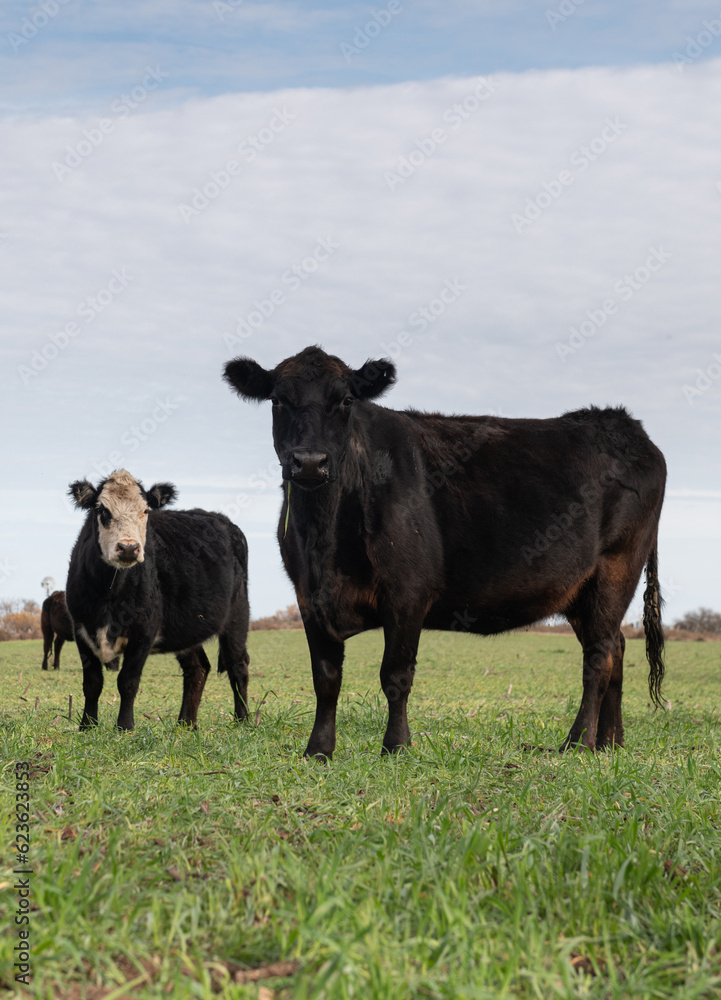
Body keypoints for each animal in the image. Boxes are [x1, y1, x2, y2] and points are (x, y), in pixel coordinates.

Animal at [66, 469, 250, 731]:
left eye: (145, 511)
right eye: (102, 510)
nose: (129, 548)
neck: (109, 593)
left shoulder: (144, 632)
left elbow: (128, 681)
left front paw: (125, 727)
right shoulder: (81, 628)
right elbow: (92, 683)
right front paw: (87, 726)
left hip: (238, 615)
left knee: (238, 666)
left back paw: (243, 720)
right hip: (186, 629)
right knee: (198, 668)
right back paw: (186, 724)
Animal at [223, 345, 666, 759]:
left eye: (346, 400)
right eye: (278, 400)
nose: (310, 462)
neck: (325, 540)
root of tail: (621, 424)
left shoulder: (407, 592)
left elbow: (396, 675)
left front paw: (396, 747)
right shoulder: (308, 596)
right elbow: (326, 677)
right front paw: (318, 751)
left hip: (615, 568)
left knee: (599, 657)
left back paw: (577, 743)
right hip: (580, 592)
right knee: (616, 648)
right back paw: (610, 743)